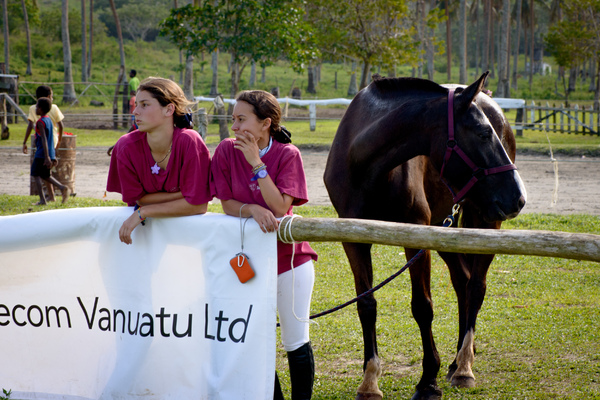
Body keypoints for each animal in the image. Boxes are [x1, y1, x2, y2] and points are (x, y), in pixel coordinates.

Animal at [324, 72, 524, 400]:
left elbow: (422, 306)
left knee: (476, 286)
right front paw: (370, 379)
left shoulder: (416, 237)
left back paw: (464, 366)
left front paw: (428, 380)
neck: (364, 164)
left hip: (485, 221)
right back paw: (457, 361)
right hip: (446, 227)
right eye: (483, 133)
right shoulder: (353, 239)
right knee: (463, 281)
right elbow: (366, 305)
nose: (518, 197)